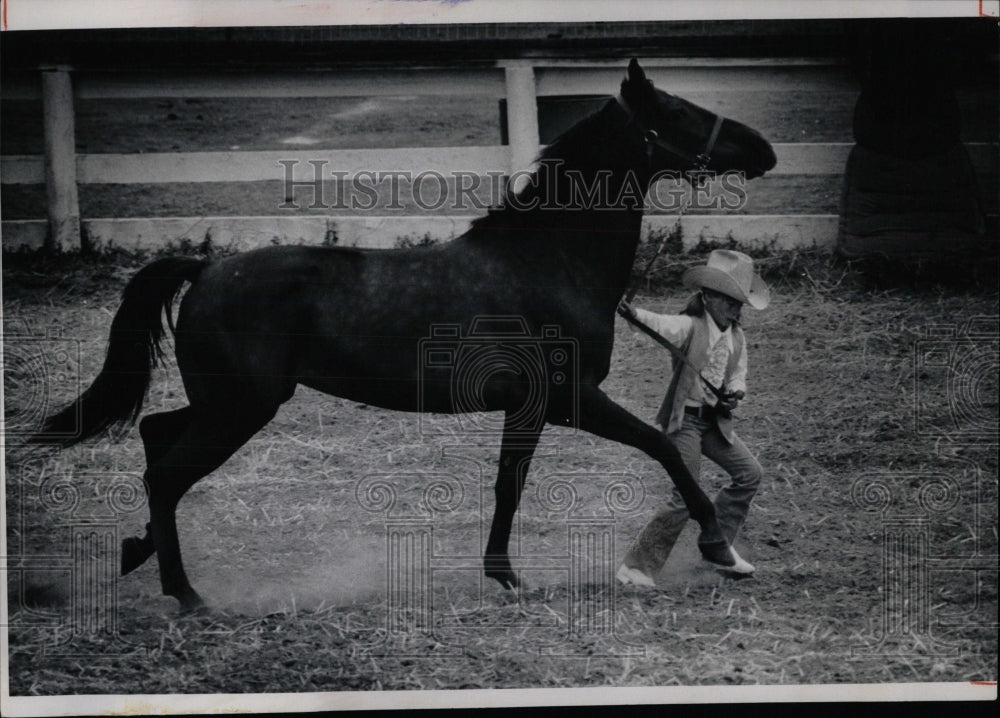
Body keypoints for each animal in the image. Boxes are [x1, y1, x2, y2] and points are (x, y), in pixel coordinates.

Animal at [35, 62, 776, 612]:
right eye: (676, 112)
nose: (764, 149)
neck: (546, 260)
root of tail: (207, 268)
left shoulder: (532, 408)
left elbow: (511, 483)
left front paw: (505, 575)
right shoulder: (568, 400)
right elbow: (661, 450)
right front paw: (719, 547)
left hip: (227, 403)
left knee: (155, 434)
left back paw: (138, 552)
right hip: (240, 409)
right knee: (166, 471)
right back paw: (186, 594)